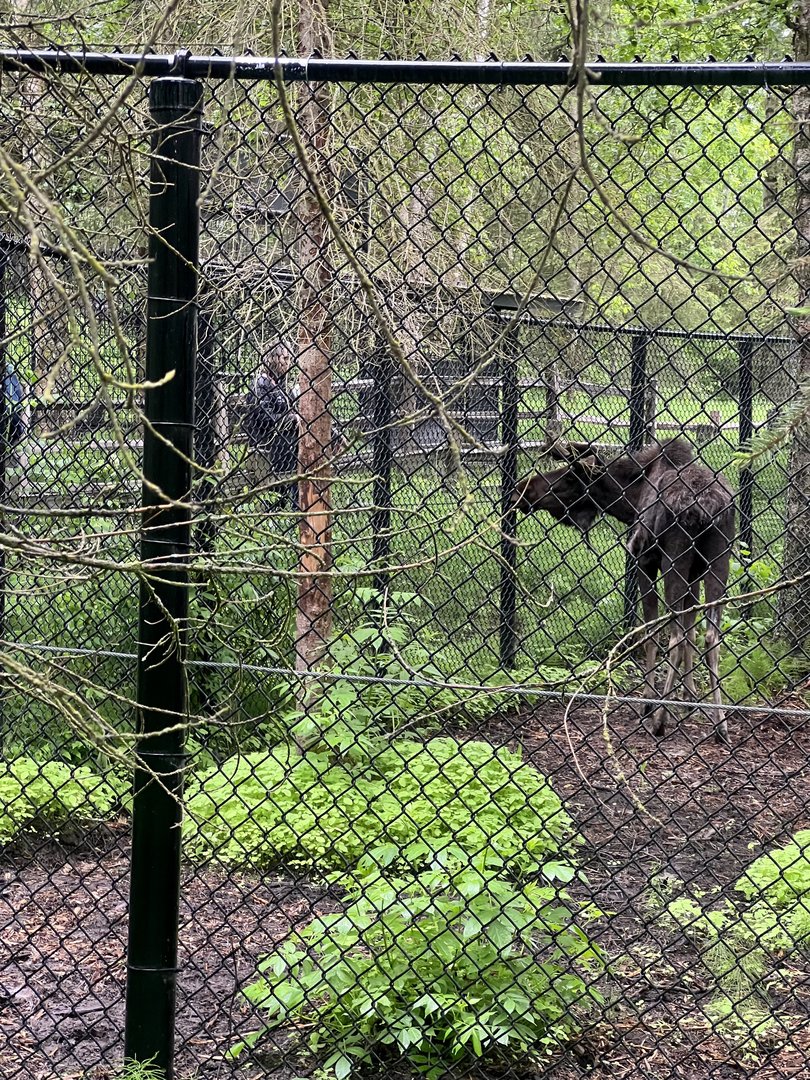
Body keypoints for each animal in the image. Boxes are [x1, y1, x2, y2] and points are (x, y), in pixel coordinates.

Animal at [513, 438, 736, 743]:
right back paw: (721, 726)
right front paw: (689, 699)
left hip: (674, 561)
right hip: (719, 560)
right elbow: (691, 632)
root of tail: (707, 508)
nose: (522, 489)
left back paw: (659, 720)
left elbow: (650, 632)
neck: (630, 499)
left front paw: (649, 702)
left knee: (675, 637)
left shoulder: (643, 561)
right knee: (711, 635)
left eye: (570, 476)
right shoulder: (695, 573)